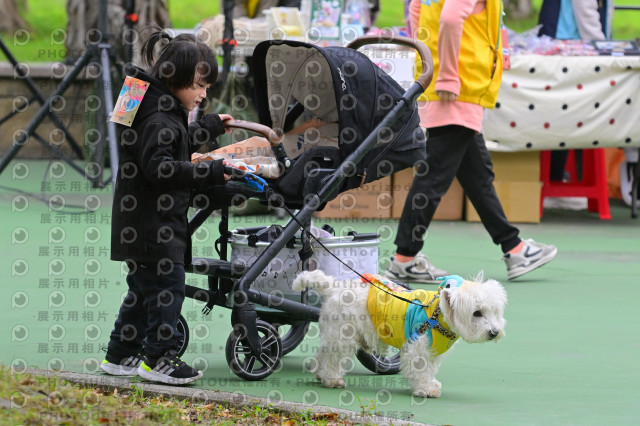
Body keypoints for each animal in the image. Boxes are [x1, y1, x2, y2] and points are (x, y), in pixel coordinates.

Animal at [292, 270, 507, 398]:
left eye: (494, 311)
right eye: (477, 313)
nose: (494, 332)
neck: (439, 315)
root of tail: (332, 287)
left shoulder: (431, 352)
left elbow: (430, 370)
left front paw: (431, 385)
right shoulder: (418, 349)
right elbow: (420, 369)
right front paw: (425, 389)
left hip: (335, 334)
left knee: (323, 354)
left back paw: (321, 375)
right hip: (344, 335)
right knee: (332, 358)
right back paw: (332, 379)